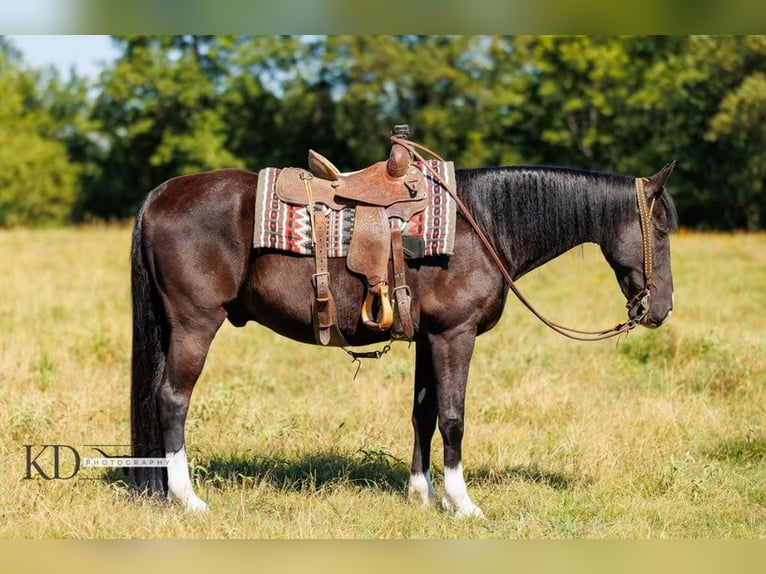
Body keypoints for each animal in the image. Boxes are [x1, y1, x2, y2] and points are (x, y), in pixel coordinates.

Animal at [130, 156, 677, 517]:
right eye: (662, 231)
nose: (661, 309)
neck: (481, 225)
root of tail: (158, 194)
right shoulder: (455, 335)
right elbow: (453, 418)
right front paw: (462, 503)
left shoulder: (430, 337)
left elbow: (423, 414)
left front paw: (421, 494)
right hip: (195, 323)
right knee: (172, 400)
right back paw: (188, 499)